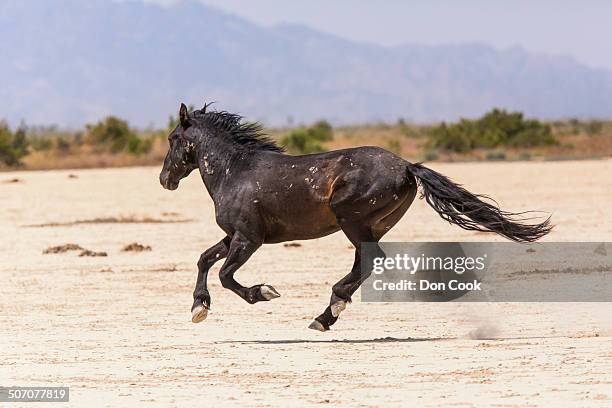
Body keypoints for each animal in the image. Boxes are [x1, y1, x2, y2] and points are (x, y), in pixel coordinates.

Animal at [160, 103, 552, 332]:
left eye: (172, 137)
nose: (164, 179)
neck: (235, 171)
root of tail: (407, 166)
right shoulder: (233, 236)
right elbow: (205, 259)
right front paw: (198, 307)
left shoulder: (249, 238)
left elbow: (226, 275)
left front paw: (264, 292)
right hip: (370, 226)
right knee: (365, 261)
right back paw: (327, 313)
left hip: (352, 220)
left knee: (370, 260)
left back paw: (330, 308)